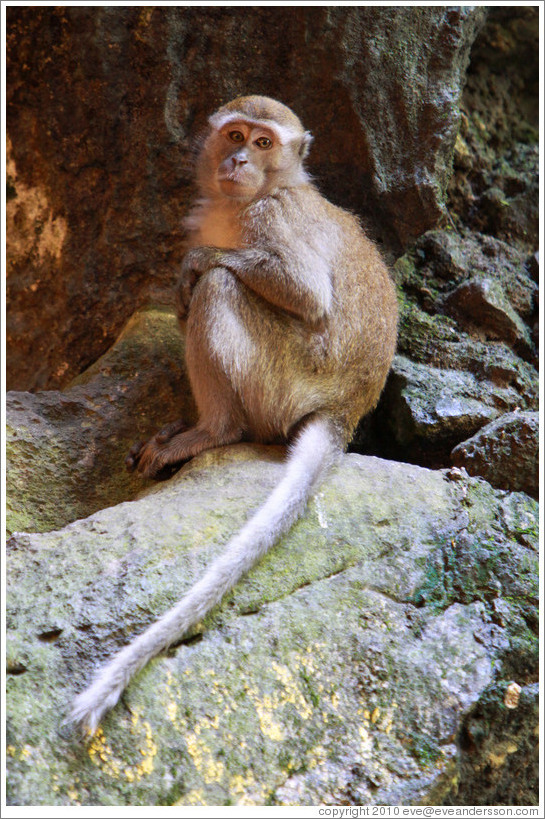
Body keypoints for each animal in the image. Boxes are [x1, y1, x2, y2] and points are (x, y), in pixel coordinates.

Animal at [70, 96, 398, 736]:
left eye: (265, 143)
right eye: (235, 136)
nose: (240, 159)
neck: (246, 201)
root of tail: (345, 409)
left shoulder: (275, 217)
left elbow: (303, 291)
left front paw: (197, 259)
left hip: (285, 378)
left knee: (219, 287)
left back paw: (210, 430)